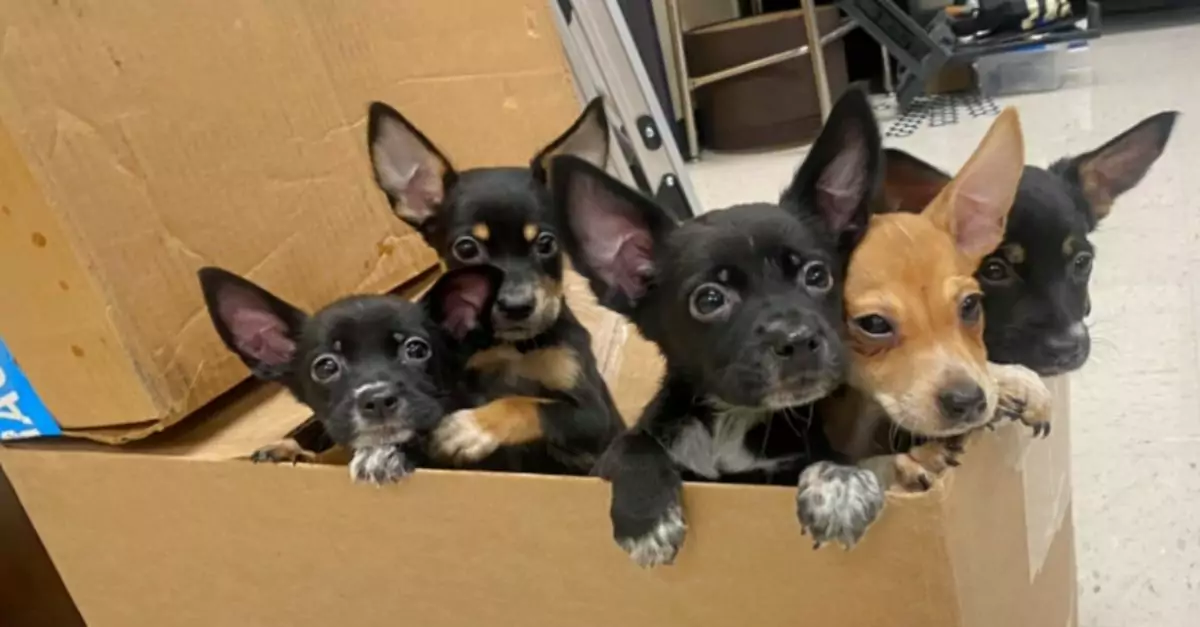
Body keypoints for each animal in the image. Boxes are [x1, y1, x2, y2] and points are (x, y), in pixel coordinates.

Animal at [362, 96, 624, 468]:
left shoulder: (593, 416)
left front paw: (472, 428)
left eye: (547, 243)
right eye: (466, 249)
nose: (516, 306)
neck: (509, 348)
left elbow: (528, 405)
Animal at [549, 88, 883, 566]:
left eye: (818, 275)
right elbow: (632, 444)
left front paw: (840, 483)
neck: (731, 421)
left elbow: (822, 456)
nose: (798, 341)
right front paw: (647, 518)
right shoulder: (615, 455)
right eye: (709, 300)